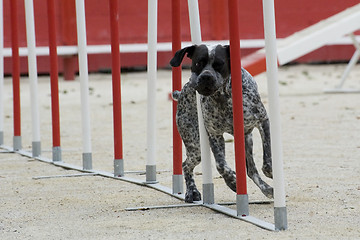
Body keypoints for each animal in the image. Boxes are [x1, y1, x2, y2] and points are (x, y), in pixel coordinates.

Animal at [169, 43, 272, 202]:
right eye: (198, 63)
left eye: (219, 64)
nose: (206, 77)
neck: (223, 97)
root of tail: (181, 94)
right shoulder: (214, 135)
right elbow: (221, 165)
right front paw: (232, 181)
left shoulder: (262, 121)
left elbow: (267, 156)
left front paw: (270, 171)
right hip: (195, 146)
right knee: (185, 165)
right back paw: (192, 191)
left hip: (246, 139)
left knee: (251, 170)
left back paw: (266, 189)